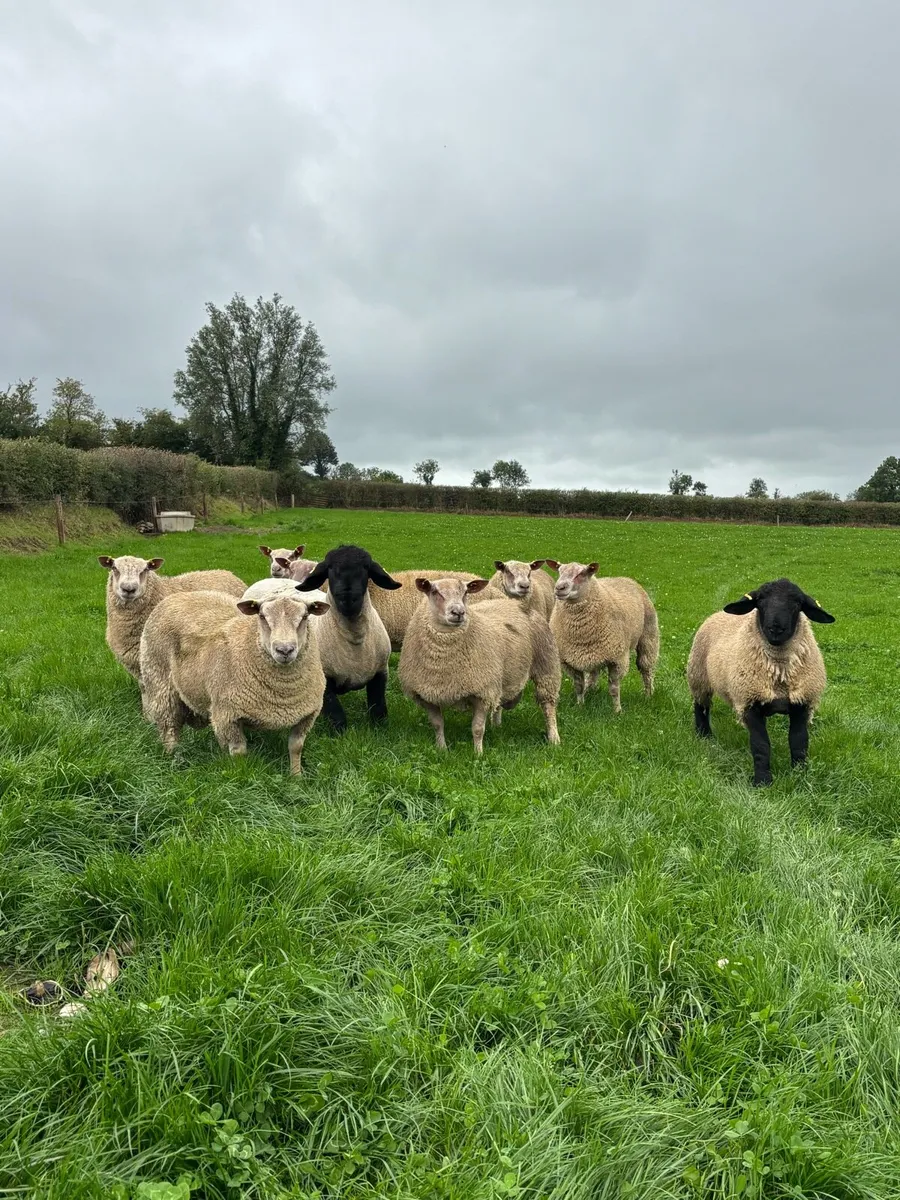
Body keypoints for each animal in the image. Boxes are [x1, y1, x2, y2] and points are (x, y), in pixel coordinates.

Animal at [139, 590, 330, 774]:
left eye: (304, 616)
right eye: (262, 616)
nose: (284, 650)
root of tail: (175, 596)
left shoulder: (308, 715)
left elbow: (296, 747)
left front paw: (296, 777)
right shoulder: (227, 716)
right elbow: (239, 753)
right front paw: (240, 774)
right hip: (160, 681)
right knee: (169, 728)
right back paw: (175, 761)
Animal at [296, 544, 402, 732]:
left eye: (366, 568)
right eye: (329, 568)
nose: (346, 597)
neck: (354, 637)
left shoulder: (380, 672)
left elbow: (378, 708)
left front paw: (379, 730)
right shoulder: (326, 679)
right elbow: (336, 714)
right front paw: (340, 734)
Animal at [398, 577, 561, 753]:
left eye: (465, 592)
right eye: (434, 591)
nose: (458, 612)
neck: (443, 663)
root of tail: (513, 602)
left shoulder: (482, 692)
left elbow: (477, 728)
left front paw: (478, 753)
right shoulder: (427, 695)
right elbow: (437, 724)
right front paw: (442, 749)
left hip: (546, 665)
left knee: (548, 705)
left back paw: (554, 738)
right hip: (503, 675)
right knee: (499, 702)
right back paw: (496, 726)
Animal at [546, 561, 659, 711]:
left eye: (582, 574)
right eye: (559, 571)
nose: (559, 588)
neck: (581, 634)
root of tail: (625, 578)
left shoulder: (617, 659)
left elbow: (614, 689)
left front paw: (617, 710)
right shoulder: (569, 661)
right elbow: (578, 686)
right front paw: (580, 705)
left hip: (649, 636)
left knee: (646, 668)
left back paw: (648, 694)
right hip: (595, 653)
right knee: (594, 673)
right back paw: (590, 691)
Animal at [687, 578, 835, 787]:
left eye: (797, 603)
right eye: (760, 601)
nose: (776, 628)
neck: (779, 672)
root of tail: (717, 613)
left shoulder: (802, 703)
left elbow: (799, 742)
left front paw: (800, 775)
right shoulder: (749, 703)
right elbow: (761, 745)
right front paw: (762, 781)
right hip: (698, 675)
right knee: (701, 706)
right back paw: (704, 735)